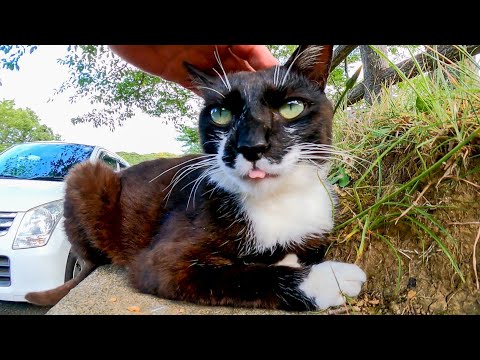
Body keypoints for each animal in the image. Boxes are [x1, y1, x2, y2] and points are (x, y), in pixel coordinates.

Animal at [25, 44, 364, 310]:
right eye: (221, 114)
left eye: (291, 107)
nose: (251, 146)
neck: (274, 201)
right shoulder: (161, 261)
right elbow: (239, 274)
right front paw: (327, 279)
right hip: (86, 173)